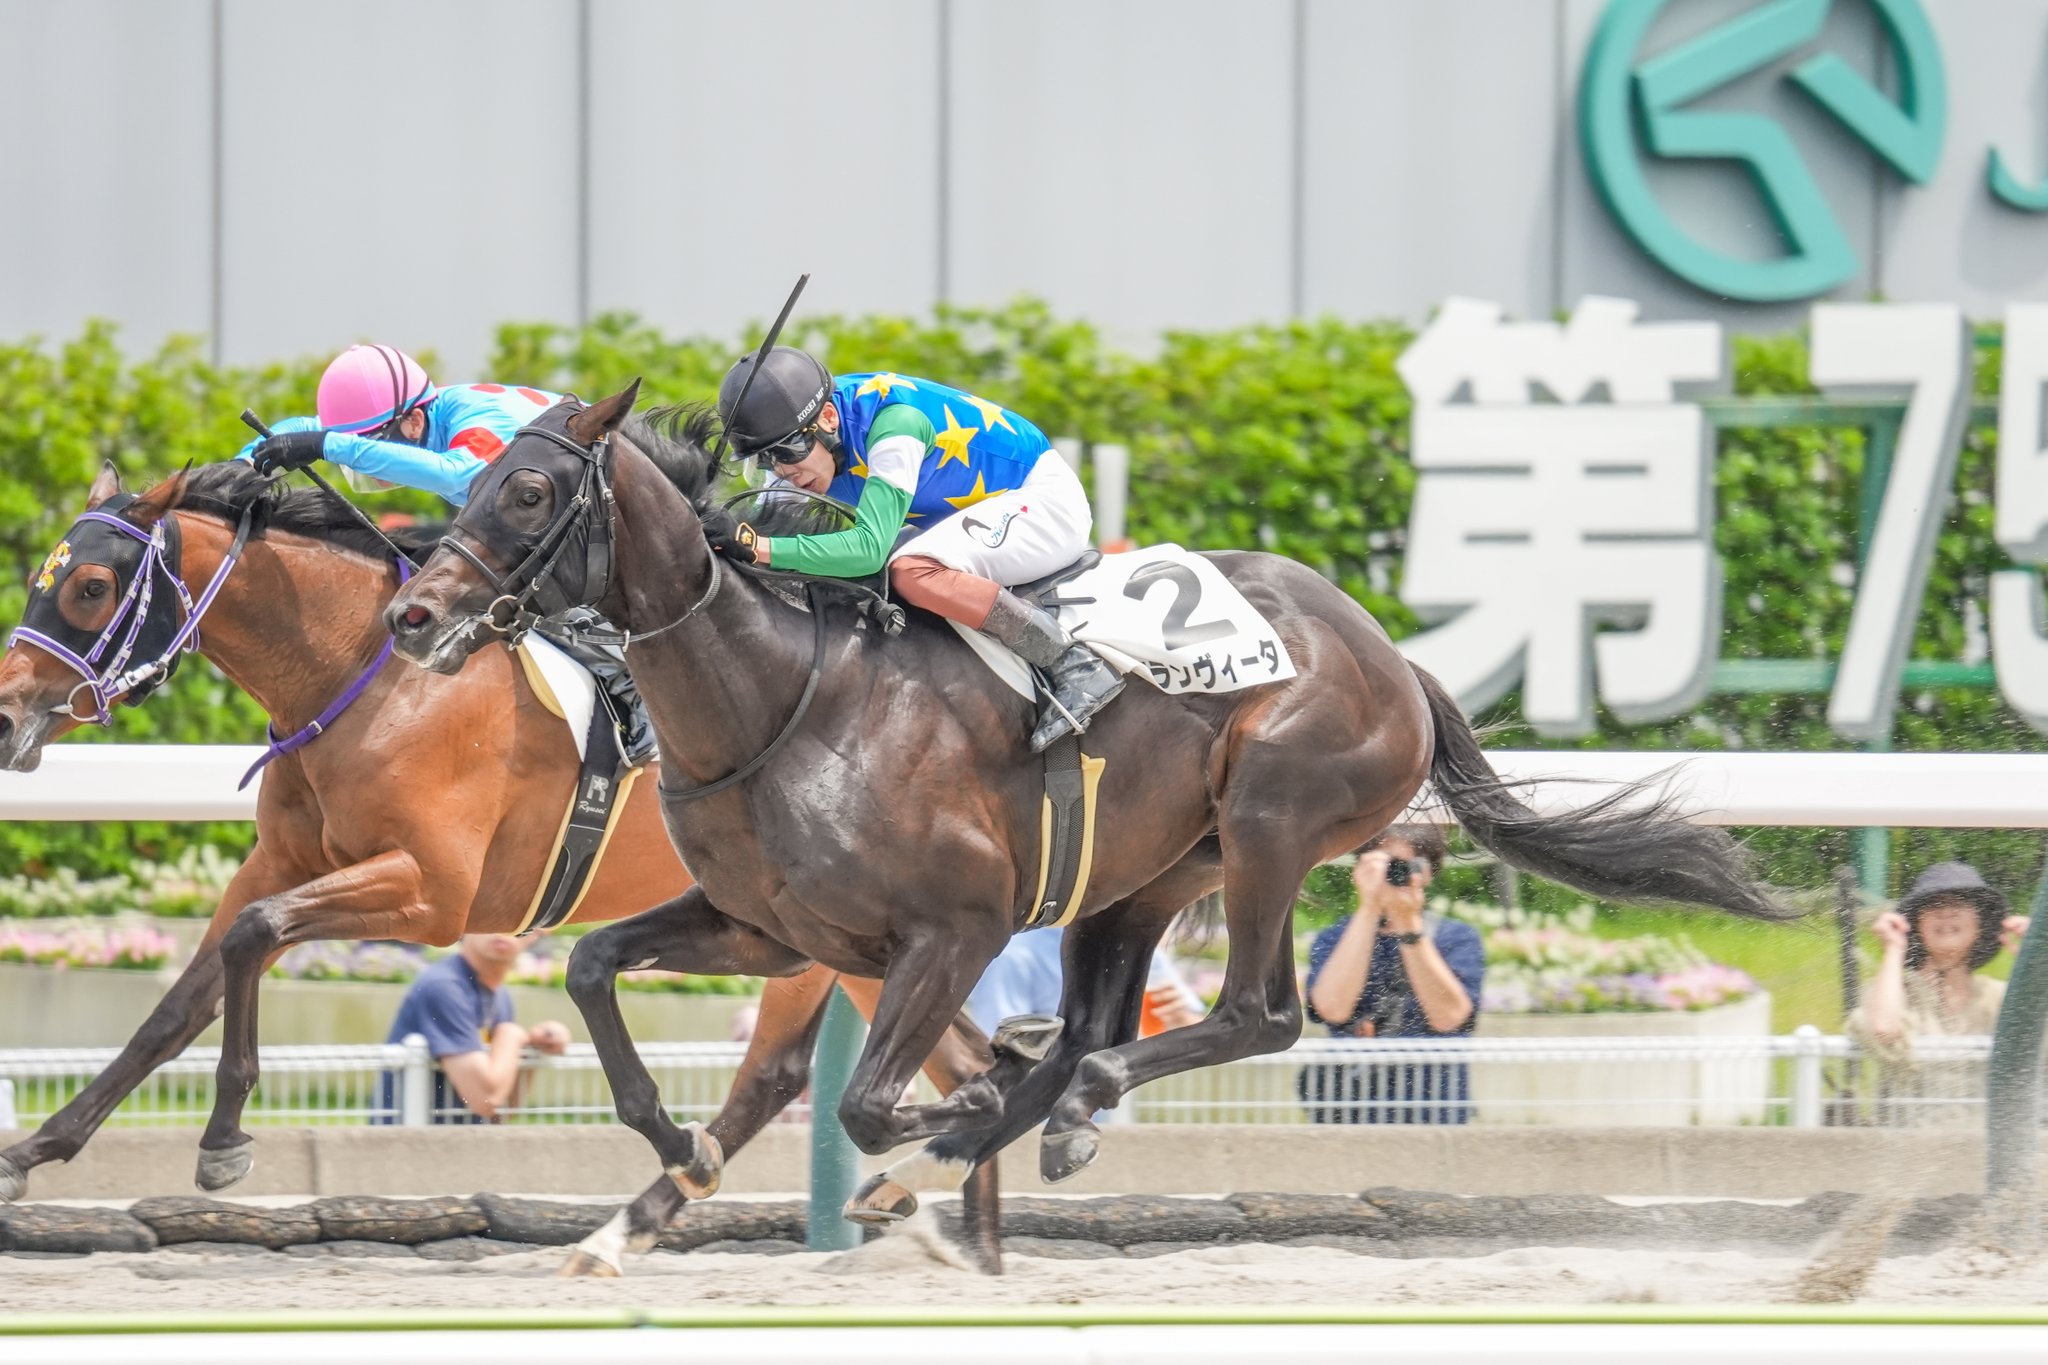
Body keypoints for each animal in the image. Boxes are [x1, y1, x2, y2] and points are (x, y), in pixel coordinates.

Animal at [0, 460, 1004, 1270]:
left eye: (90, 584)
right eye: (45, 575)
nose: (7, 716)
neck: (363, 672)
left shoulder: (430, 893)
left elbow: (254, 936)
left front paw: (222, 1138)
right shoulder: (277, 862)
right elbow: (177, 1005)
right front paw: (33, 1152)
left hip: (831, 928)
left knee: (797, 1072)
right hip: (847, 936)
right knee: (951, 1057)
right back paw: (957, 1234)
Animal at [380, 385, 1793, 1275]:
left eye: (528, 490)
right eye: (478, 476)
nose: (413, 616)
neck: (777, 697)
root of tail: (1393, 655)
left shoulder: (948, 928)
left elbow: (872, 1103)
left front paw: (949, 1122)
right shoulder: (765, 926)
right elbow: (590, 966)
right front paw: (679, 1143)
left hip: (1271, 818)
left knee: (1252, 1014)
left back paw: (1053, 1104)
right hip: (1143, 877)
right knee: (1097, 1021)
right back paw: (1037, 1109)